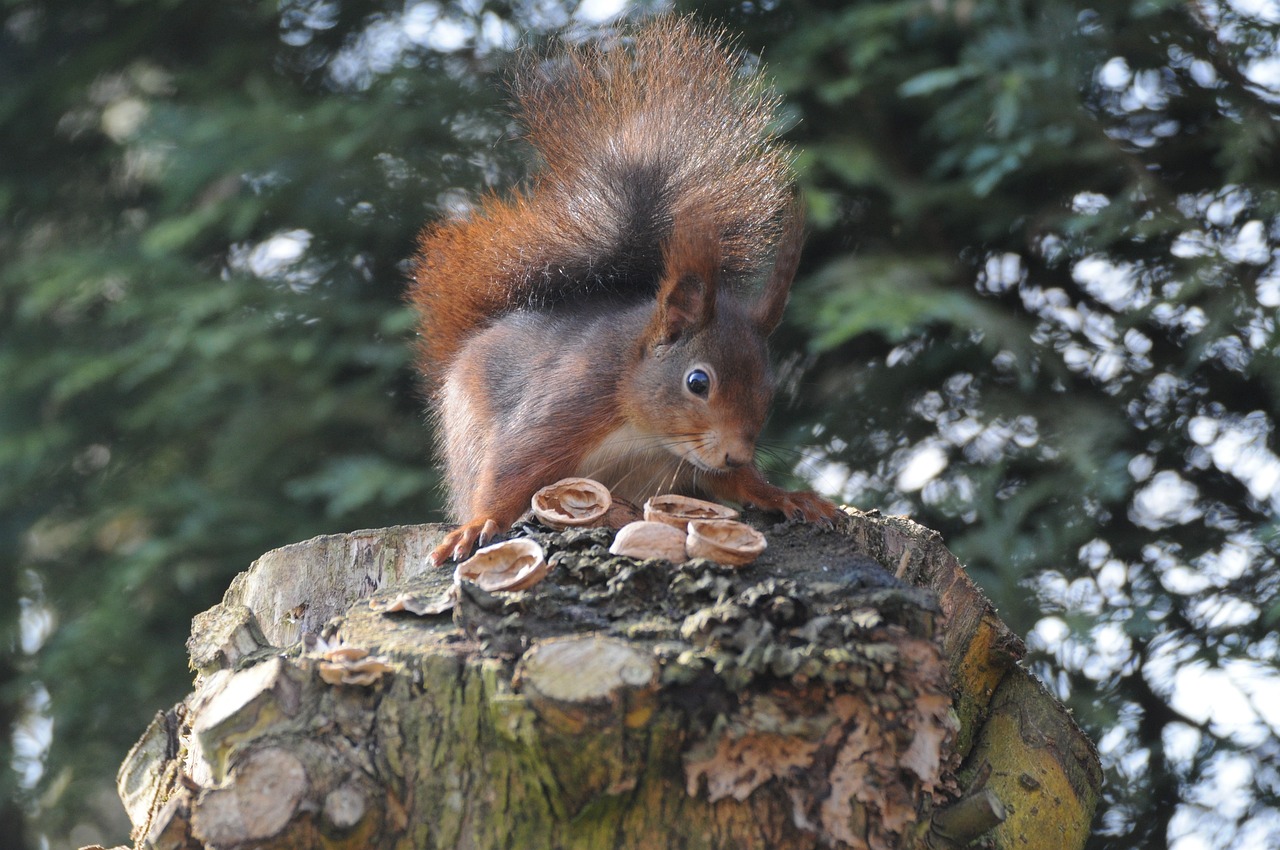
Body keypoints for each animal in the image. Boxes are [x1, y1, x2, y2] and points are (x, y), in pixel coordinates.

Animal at [409, 16, 839, 563]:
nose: (736, 453)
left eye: (769, 387)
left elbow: (738, 486)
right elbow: (511, 467)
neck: (645, 432)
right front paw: (479, 525)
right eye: (697, 382)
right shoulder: (568, 404)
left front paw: (784, 495)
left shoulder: (693, 459)